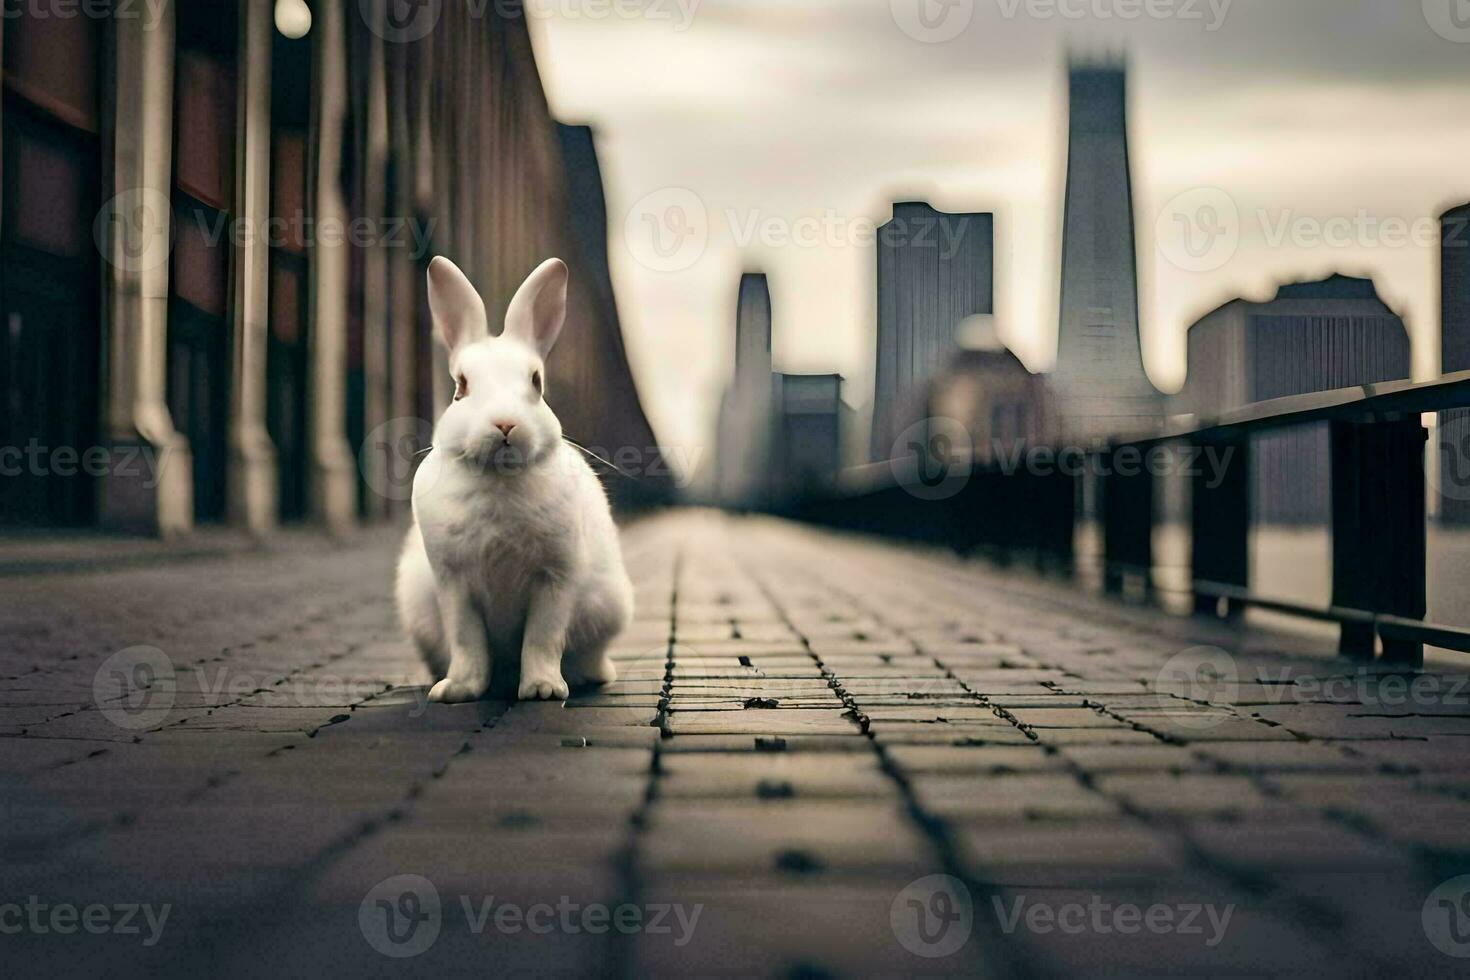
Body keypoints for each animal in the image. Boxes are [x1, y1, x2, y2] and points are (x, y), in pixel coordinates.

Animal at [396, 258, 632, 705]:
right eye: (460, 386)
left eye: (536, 382)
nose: (505, 423)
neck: (498, 477)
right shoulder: (453, 583)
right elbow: (467, 640)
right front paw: (457, 691)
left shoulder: (555, 577)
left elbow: (542, 637)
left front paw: (542, 689)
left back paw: (590, 675)